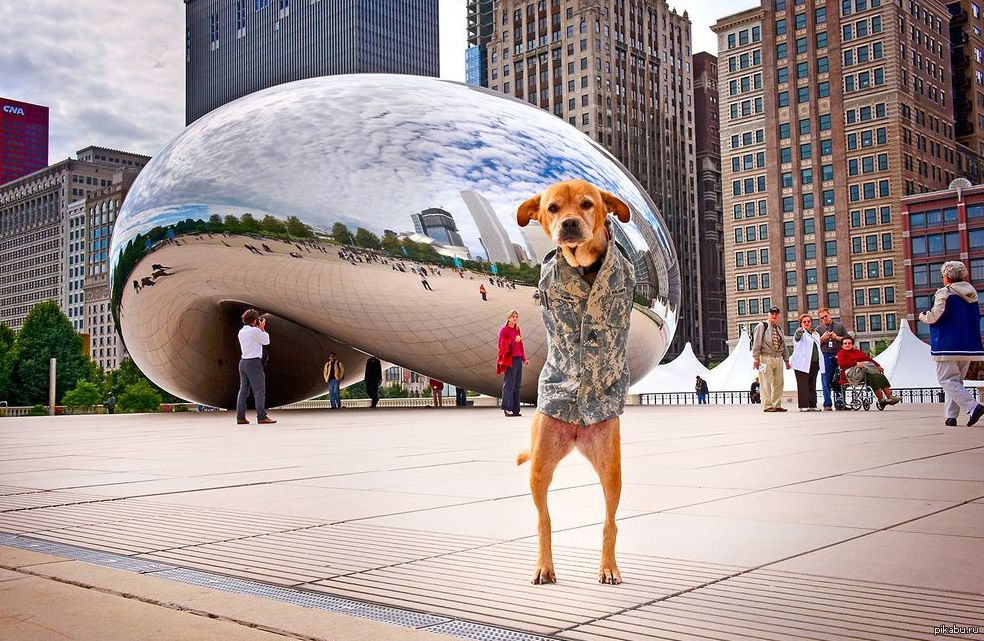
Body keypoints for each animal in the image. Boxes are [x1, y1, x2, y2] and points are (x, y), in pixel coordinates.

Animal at [512, 178, 636, 584]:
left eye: (587, 204)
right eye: (552, 208)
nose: (567, 224)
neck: (583, 264)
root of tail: (577, 434)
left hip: (611, 467)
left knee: (610, 522)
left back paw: (608, 567)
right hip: (540, 466)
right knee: (544, 519)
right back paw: (544, 565)